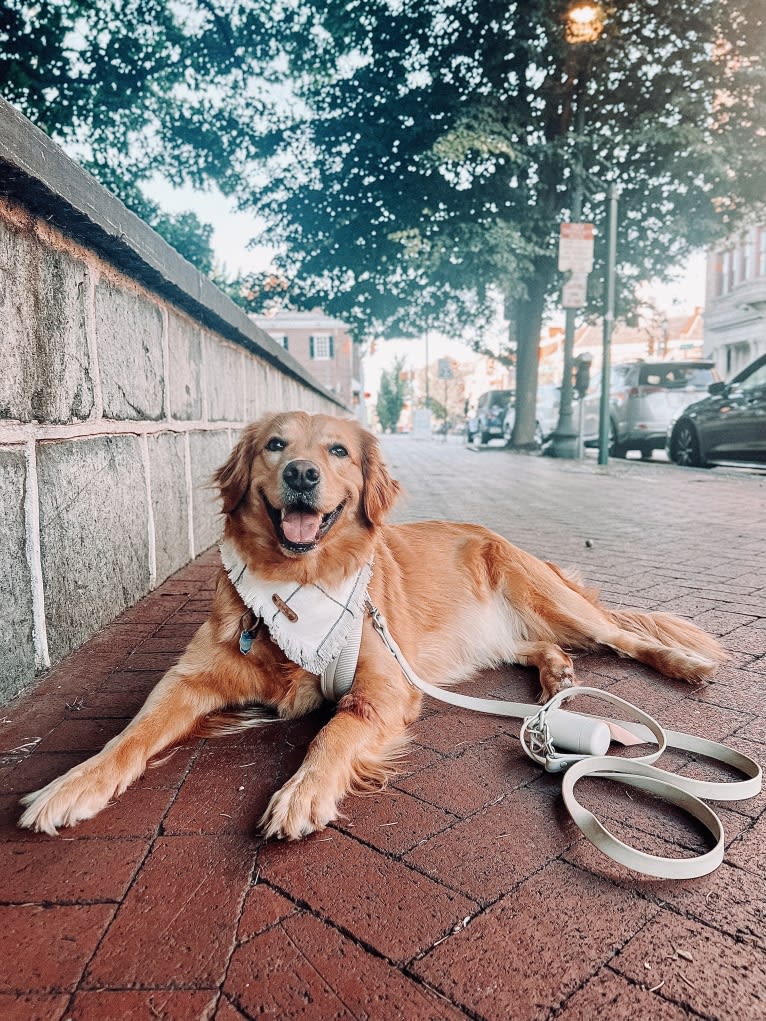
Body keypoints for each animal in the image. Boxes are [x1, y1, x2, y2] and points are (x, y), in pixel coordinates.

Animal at [16, 410, 727, 841]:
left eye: (337, 451)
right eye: (275, 445)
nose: (302, 474)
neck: (299, 586)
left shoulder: (382, 686)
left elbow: (335, 730)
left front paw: (302, 793)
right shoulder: (187, 679)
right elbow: (129, 735)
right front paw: (72, 784)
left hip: (550, 598)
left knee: (623, 635)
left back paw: (683, 665)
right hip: (486, 640)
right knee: (539, 647)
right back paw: (556, 680)